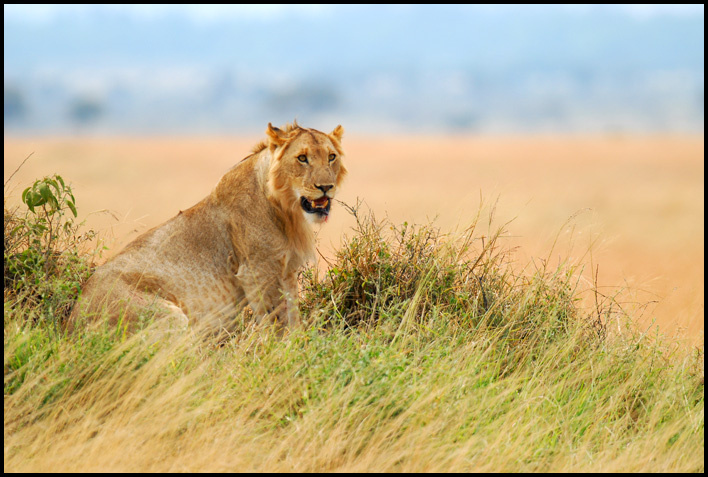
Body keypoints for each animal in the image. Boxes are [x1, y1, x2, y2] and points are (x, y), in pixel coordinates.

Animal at [68, 121, 346, 332]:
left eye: (331, 157)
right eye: (302, 158)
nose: (326, 187)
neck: (286, 210)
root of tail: (71, 326)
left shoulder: (287, 271)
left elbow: (293, 318)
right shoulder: (258, 271)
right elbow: (277, 323)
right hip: (169, 318)